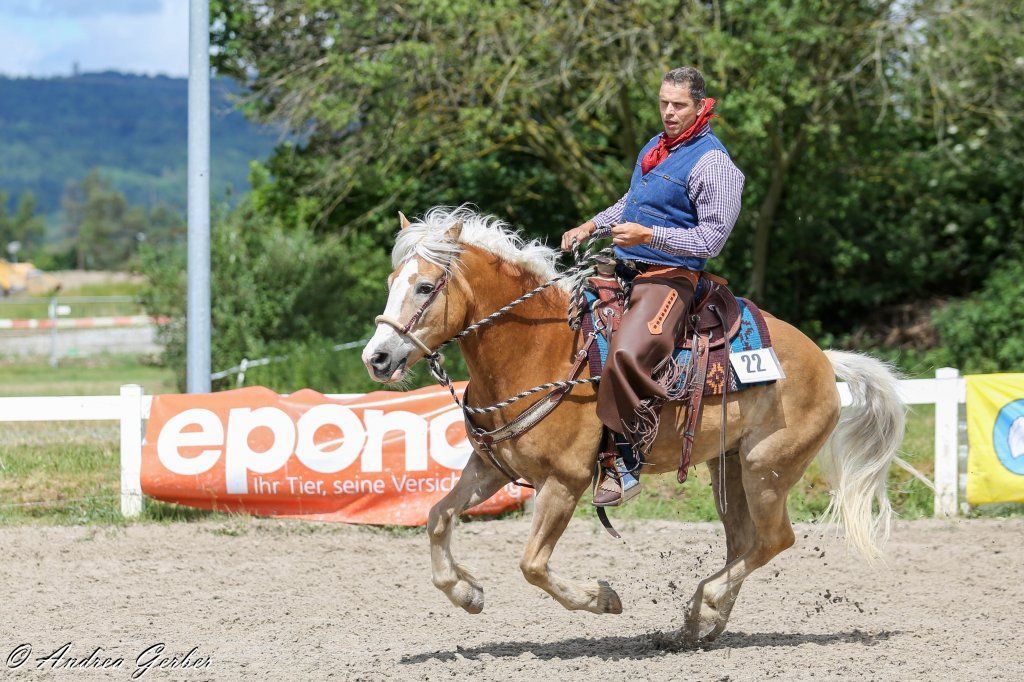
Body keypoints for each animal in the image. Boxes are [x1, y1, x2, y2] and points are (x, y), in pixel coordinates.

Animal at [360, 206, 905, 644]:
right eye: (390, 284)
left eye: (425, 287)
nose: (377, 358)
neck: (541, 351)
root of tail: (824, 360)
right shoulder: (491, 467)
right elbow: (437, 517)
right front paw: (466, 592)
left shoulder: (565, 482)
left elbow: (532, 564)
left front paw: (602, 598)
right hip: (728, 470)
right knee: (746, 542)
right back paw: (702, 624)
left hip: (766, 469)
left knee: (775, 541)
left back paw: (704, 603)